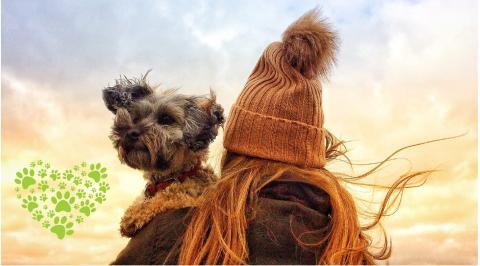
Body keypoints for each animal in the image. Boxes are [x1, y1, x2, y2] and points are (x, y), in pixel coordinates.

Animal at [102, 71, 224, 237]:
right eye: (135, 117)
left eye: (166, 119)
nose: (131, 133)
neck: (169, 178)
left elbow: (170, 196)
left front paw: (135, 214)